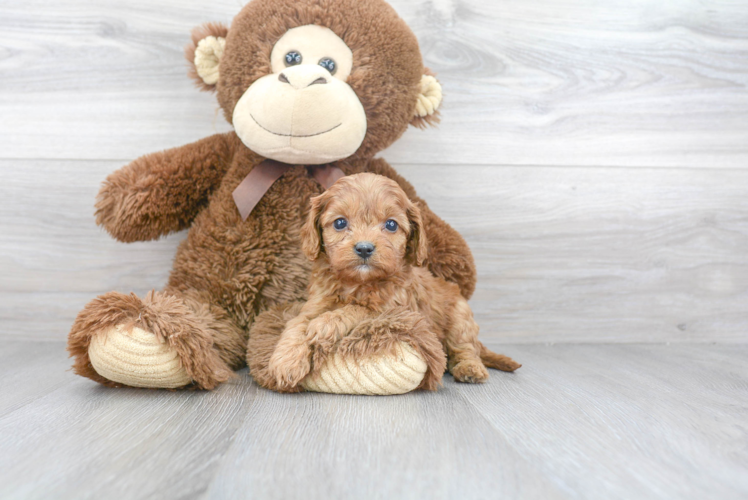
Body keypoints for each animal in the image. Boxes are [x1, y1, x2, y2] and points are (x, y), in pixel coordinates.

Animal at [268, 173, 520, 390]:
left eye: (391, 225)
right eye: (340, 223)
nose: (364, 248)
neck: (358, 283)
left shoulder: (392, 310)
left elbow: (356, 310)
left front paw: (325, 324)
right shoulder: (314, 305)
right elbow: (297, 325)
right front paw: (285, 362)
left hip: (460, 317)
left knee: (465, 348)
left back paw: (470, 369)